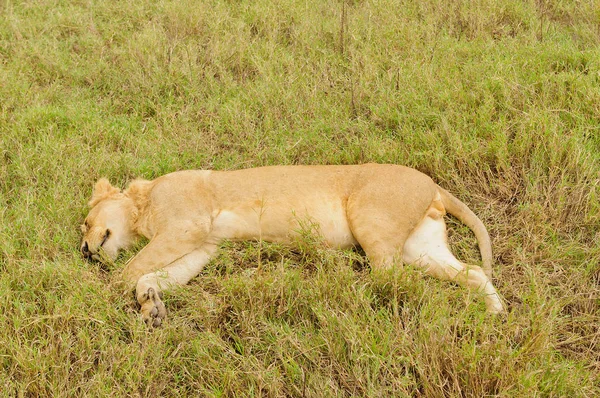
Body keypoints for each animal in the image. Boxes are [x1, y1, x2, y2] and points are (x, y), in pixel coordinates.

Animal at [78, 163, 502, 324]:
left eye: (86, 223)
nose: (83, 250)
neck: (143, 204)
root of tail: (433, 184)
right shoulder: (203, 244)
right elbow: (157, 274)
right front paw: (152, 305)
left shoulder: (187, 224)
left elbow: (132, 269)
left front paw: (104, 294)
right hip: (422, 248)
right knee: (471, 271)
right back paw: (495, 311)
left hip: (370, 221)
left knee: (393, 280)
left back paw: (336, 290)